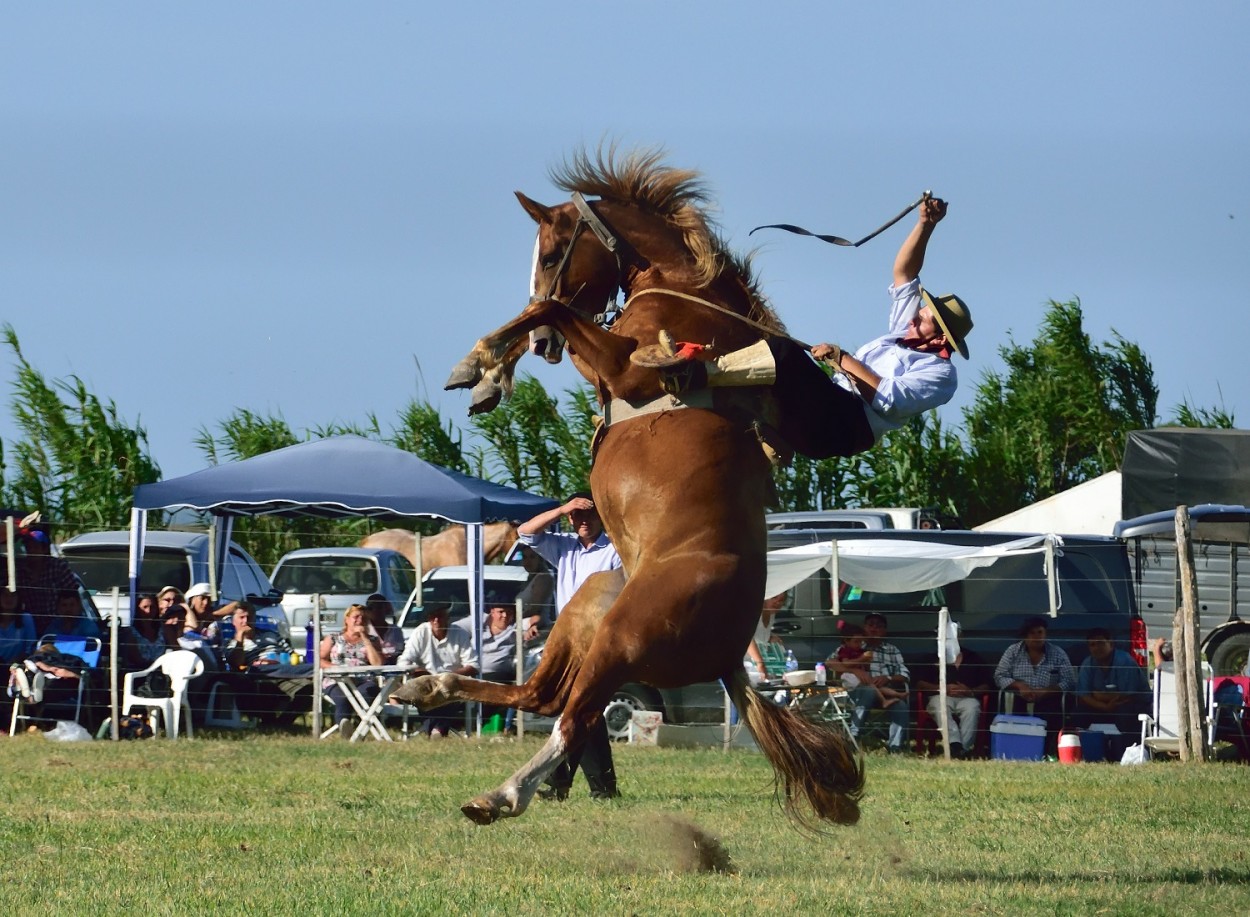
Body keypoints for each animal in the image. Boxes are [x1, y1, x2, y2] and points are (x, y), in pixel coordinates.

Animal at [395, 147, 865, 829]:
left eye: (549, 254)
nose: (546, 351)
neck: (686, 289)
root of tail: (732, 658)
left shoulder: (622, 367)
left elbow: (552, 310)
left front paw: (479, 364)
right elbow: (542, 317)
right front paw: (487, 376)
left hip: (622, 637)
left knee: (572, 717)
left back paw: (502, 794)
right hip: (591, 608)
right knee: (541, 693)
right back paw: (432, 686)